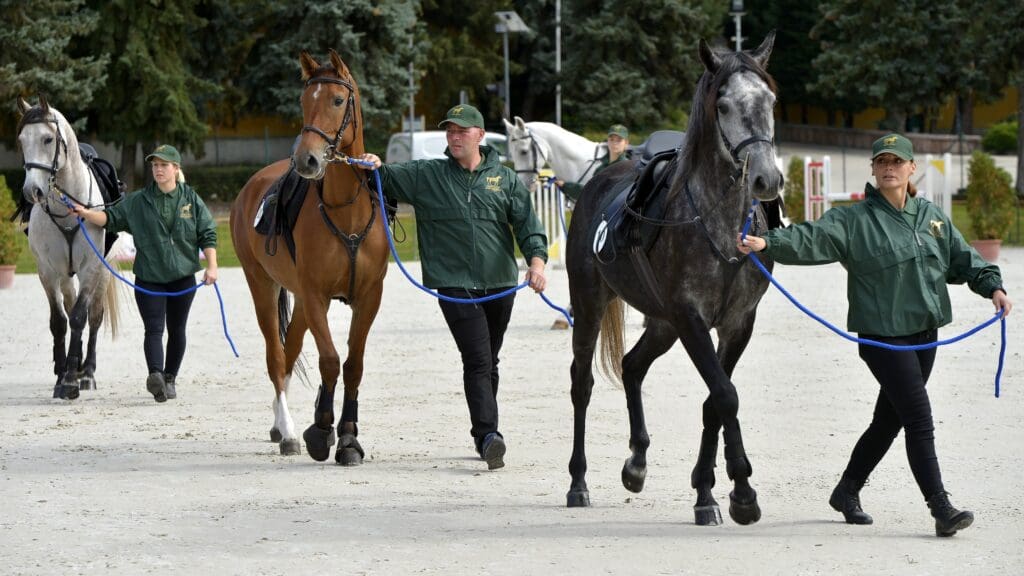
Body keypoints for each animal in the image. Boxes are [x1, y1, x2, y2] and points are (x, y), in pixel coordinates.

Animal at [17, 96, 122, 397]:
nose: (32, 192)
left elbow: (79, 318)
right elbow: (59, 321)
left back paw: (87, 373)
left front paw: (73, 381)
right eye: (21, 140)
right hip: (65, 276)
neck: (68, 210)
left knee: (94, 317)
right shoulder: (48, 272)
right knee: (69, 303)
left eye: (48, 138)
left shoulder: (90, 270)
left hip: (103, 273)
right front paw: (61, 374)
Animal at [231, 49, 387, 461]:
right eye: (304, 101)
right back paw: (286, 430)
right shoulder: (317, 296)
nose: (307, 160)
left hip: (299, 300)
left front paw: (347, 437)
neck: (345, 210)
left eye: (338, 100)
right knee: (276, 356)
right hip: (262, 285)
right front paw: (321, 430)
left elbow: (353, 364)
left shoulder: (368, 298)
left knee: (289, 352)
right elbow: (330, 360)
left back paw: (278, 423)